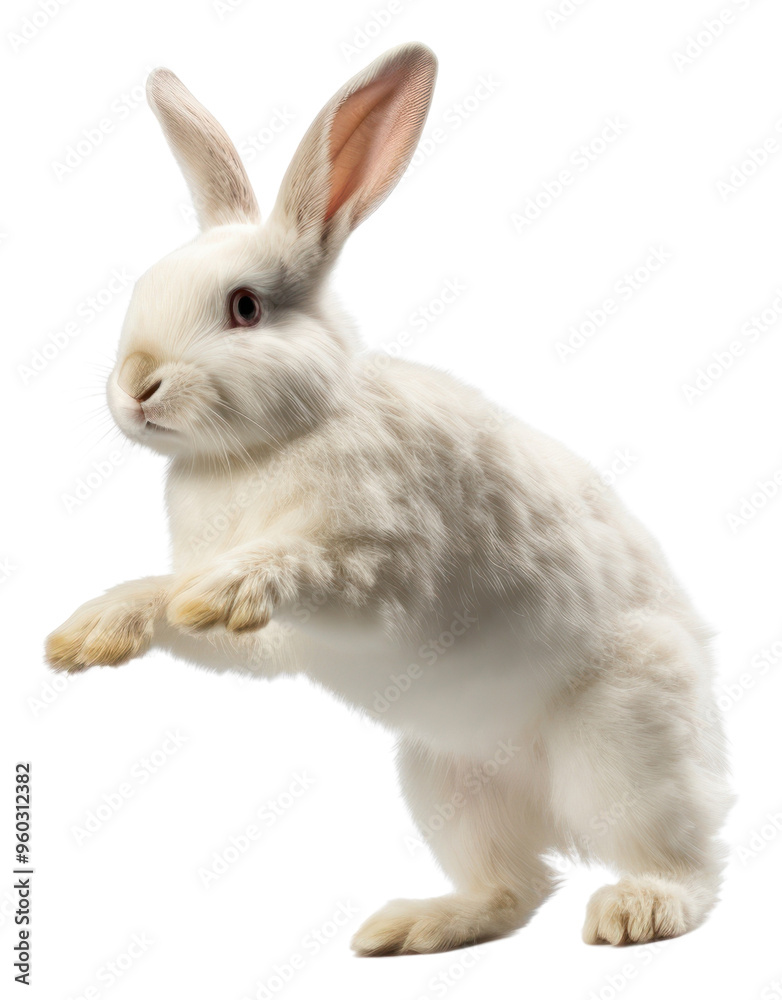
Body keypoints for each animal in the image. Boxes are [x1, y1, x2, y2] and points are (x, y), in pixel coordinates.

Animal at [45, 42, 732, 955]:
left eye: (244, 307)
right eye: (140, 292)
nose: (135, 387)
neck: (264, 444)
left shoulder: (383, 566)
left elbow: (305, 565)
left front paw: (223, 587)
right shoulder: (280, 646)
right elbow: (178, 608)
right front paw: (92, 632)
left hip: (627, 742)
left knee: (687, 863)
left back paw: (635, 910)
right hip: (441, 779)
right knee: (515, 889)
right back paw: (409, 928)